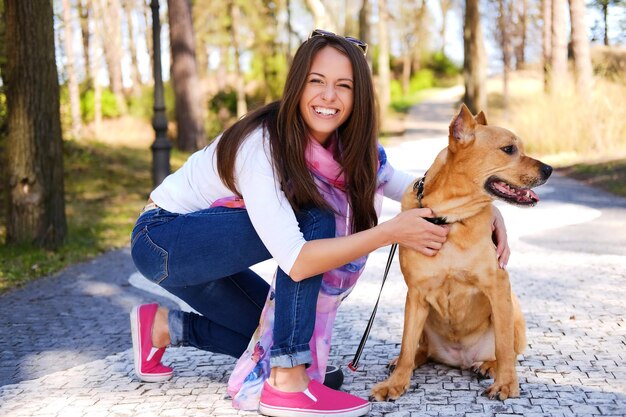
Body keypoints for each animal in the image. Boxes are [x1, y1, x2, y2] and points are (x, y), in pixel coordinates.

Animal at [370, 103, 552, 400]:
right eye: (509, 149)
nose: (550, 169)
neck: (451, 217)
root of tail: (460, 359)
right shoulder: (416, 294)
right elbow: (406, 345)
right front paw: (395, 383)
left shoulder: (498, 286)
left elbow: (504, 346)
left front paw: (506, 384)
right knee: (419, 349)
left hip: (513, 306)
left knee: (508, 351)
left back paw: (489, 366)